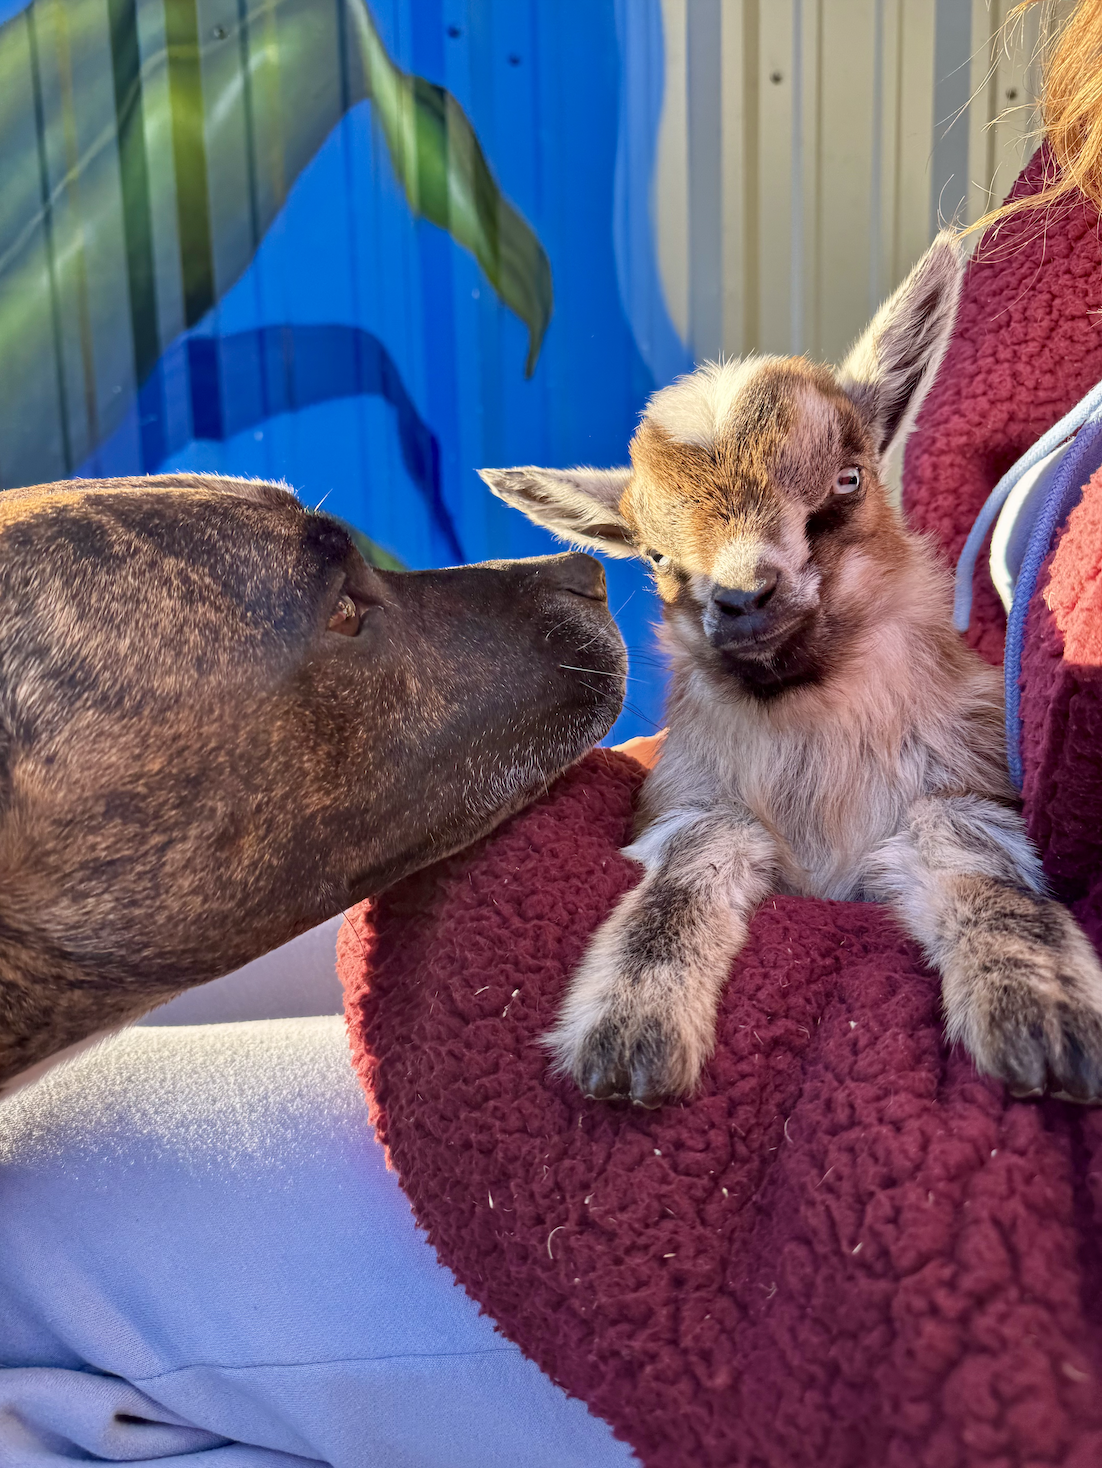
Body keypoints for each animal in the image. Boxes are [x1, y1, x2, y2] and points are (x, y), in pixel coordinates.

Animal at [479, 232, 1102, 1108]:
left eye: (849, 478)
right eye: (655, 554)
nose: (742, 596)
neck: (810, 727)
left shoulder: (968, 791)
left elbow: (969, 848)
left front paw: (1042, 1014)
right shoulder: (691, 802)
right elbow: (702, 849)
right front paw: (632, 1030)